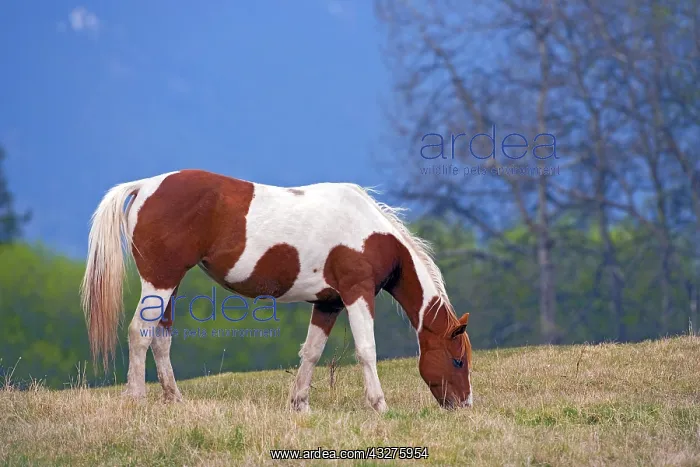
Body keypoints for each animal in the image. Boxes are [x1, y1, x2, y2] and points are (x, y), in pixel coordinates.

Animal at [80, 169, 473, 412]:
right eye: (458, 360)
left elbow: (311, 353)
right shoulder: (356, 294)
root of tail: (145, 186)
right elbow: (366, 351)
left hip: (169, 285)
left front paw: (300, 404)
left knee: (161, 338)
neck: (370, 234)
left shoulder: (329, 303)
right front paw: (379, 405)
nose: (464, 405)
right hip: (159, 282)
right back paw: (136, 397)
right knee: (140, 333)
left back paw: (174, 398)